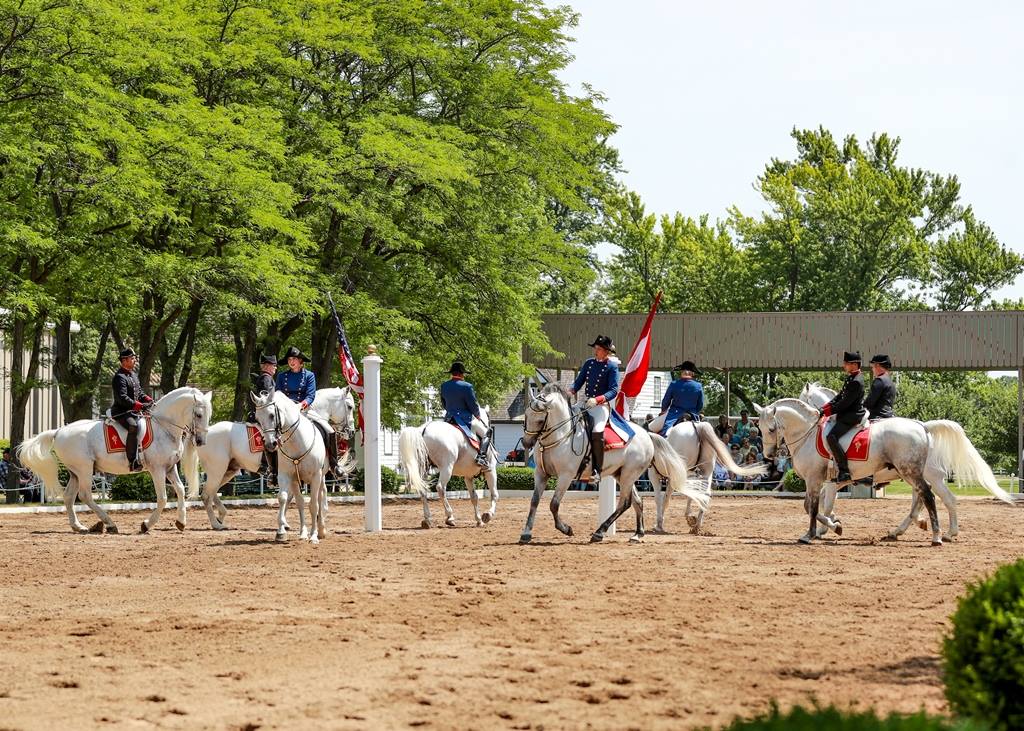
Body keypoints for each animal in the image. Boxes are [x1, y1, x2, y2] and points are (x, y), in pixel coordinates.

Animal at [18, 384, 211, 532]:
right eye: (198, 415)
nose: (201, 441)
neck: (163, 427)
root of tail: (59, 431)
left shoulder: (170, 468)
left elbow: (180, 490)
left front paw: (181, 522)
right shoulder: (157, 469)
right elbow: (162, 498)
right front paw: (146, 525)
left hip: (75, 472)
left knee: (69, 496)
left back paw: (79, 527)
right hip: (85, 469)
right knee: (85, 495)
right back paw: (109, 524)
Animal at [251, 391, 327, 536]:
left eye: (272, 415)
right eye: (257, 418)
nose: (270, 444)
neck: (298, 442)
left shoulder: (316, 476)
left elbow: (313, 505)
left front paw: (313, 535)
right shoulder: (288, 476)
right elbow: (286, 498)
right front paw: (283, 531)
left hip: (321, 477)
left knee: (320, 498)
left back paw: (321, 529)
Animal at [524, 380, 708, 540]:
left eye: (540, 420)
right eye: (526, 415)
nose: (526, 443)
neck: (560, 436)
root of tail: (646, 434)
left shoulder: (565, 476)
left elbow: (554, 504)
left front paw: (566, 529)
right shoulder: (541, 474)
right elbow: (534, 501)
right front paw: (526, 533)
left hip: (628, 474)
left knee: (625, 503)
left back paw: (599, 532)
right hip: (623, 475)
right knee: (637, 501)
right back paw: (637, 534)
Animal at [757, 395, 1011, 544]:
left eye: (771, 428)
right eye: (759, 427)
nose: (769, 455)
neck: (808, 434)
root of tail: (922, 426)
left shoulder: (817, 479)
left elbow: (813, 507)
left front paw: (813, 534)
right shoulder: (829, 482)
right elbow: (817, 507)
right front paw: (832, 526)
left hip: (917, 474)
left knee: (934, 498)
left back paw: (939, 535)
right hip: (913, 475)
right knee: (924, 499)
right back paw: (912, 530)